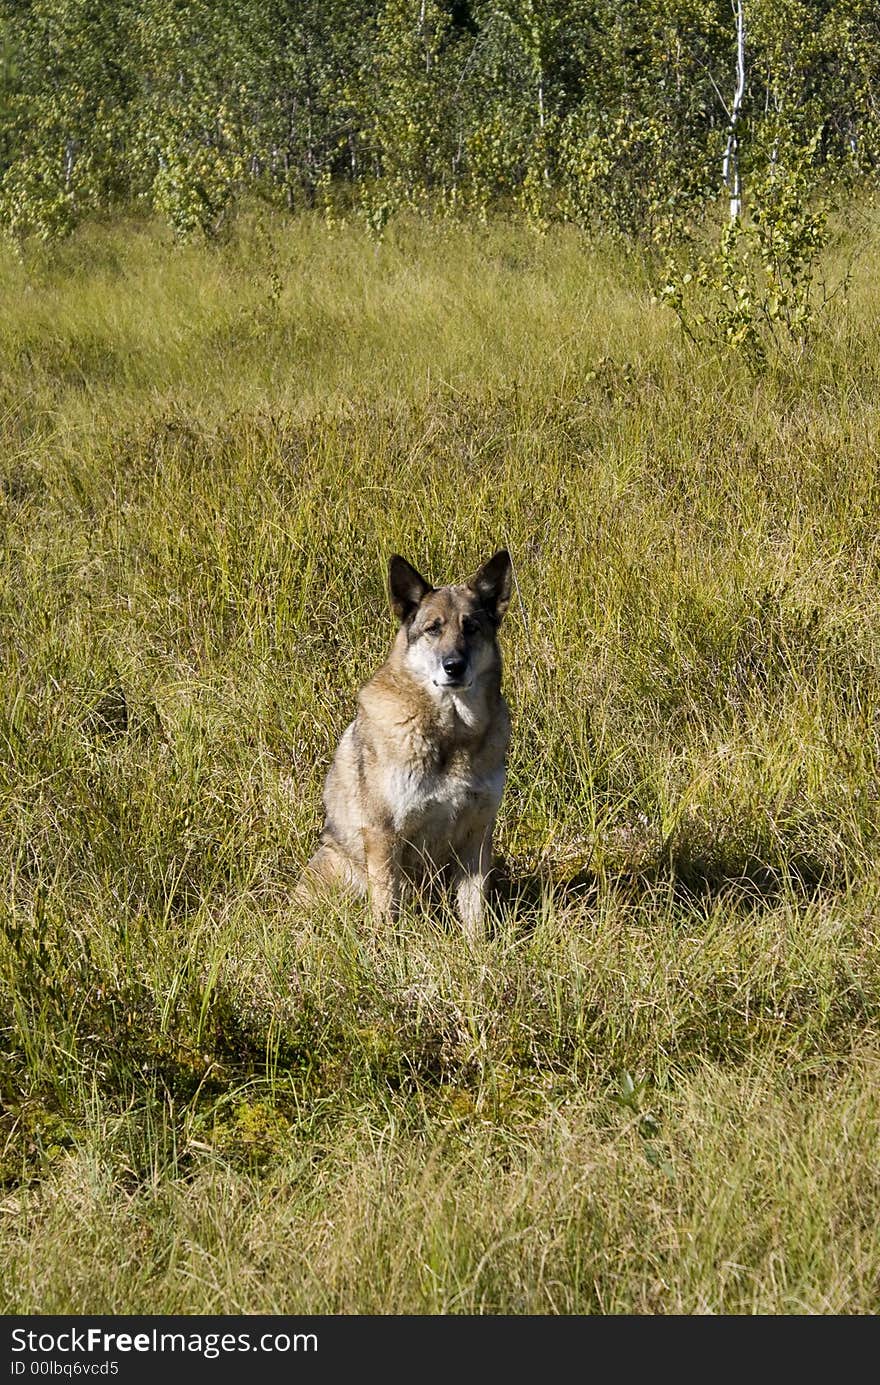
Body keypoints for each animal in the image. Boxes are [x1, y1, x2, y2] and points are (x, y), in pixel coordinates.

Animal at [299, 548, 512, 930]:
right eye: (433, 629)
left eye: (471, 628)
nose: (453, 666)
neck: (451, 734)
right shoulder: (384, 835)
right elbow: (386, 912)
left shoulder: (477, 833)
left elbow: (475, 913)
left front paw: (477, 945)